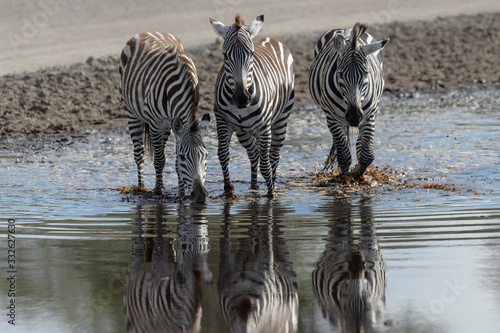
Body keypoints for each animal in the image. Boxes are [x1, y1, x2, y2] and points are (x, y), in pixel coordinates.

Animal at [120, 32, 210, 201]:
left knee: (158, 149)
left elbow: (172, 162)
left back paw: (160, 184)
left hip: (167, 126)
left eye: (206, 155)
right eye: (183, 157)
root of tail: (146, 32)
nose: (201, 194)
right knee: (139, 154)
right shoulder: (156, 123)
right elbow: (159, 160)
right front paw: (157, 191)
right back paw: (141, 187)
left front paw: (181, 193)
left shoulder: (176, 125)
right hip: (132, 112)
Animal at [209, 13, 294, 197]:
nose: (241, 98)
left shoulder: (263, 128)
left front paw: (271, 194)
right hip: (243, 132)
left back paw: (273, 183)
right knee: (254, 153)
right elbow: (222, 154)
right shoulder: (222, 121)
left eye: (251, 54)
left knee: (273, 155)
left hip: (281, 119)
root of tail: (269, 37)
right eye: (225, 55)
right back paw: (254, 186)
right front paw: (228, 189)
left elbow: (266, 164)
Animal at [308, 22, 390, 182]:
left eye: (366, 73)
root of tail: (346, 30)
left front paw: (359, 173)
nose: (354, 117)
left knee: (360, 143)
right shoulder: (332, 116)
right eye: (340, 74)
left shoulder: (369, 114)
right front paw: (345, 178)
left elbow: (367, 155)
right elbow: (343, 155)